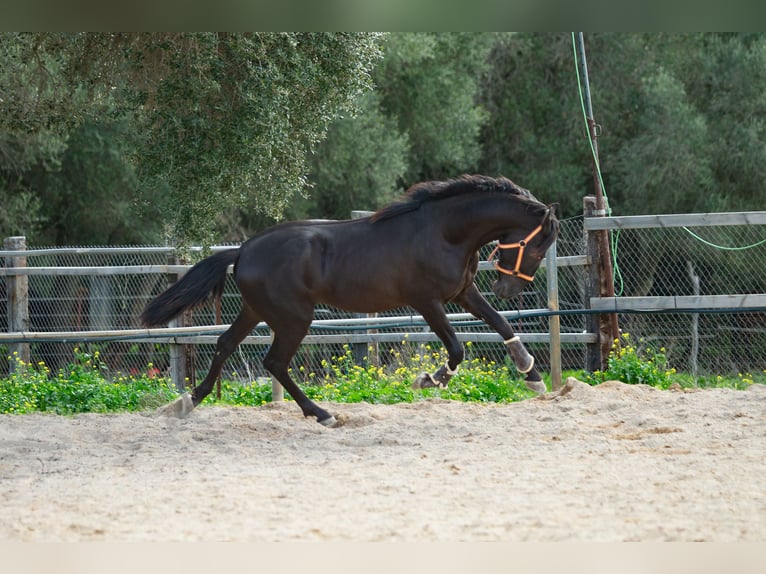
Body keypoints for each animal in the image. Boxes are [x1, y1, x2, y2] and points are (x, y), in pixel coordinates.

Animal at [141, 176, 560, 428]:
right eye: (539, 245)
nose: (509, 290)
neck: (443, 232)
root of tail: (243, 250)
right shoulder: (427, 301)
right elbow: (457, 349)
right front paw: (429, 379)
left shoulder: (462, 292)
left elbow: (501, 324)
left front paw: (532, 376)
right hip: (294, 318)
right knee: (274, 362)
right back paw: (322, 414)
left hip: (256, 311)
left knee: (225, 344)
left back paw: (188, 402)